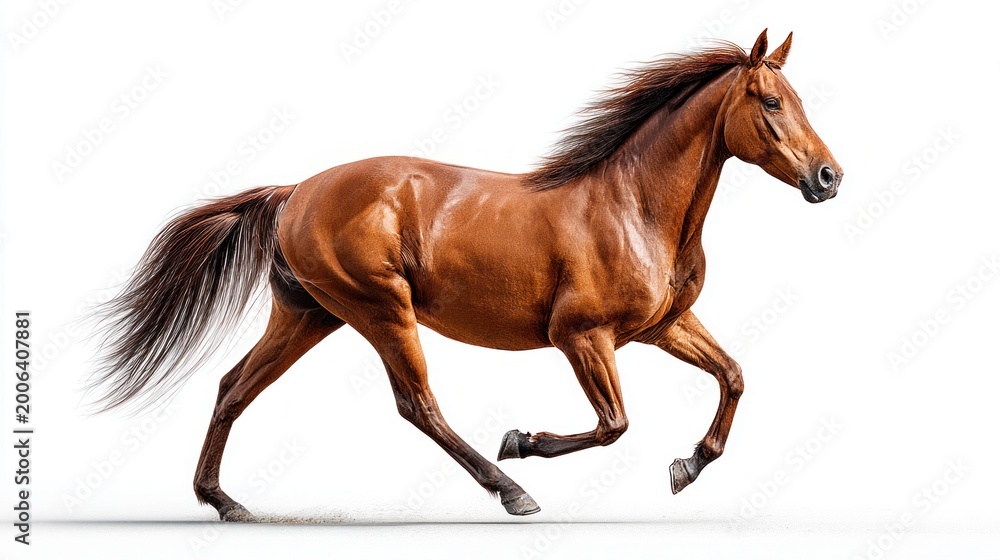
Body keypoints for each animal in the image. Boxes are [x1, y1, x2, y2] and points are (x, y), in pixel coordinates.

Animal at [88, 29, 842, 521]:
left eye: (798, 97)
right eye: (769, 100)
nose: (829, 177)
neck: (636, 206)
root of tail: (296, 190)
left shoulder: (663, 326)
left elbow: (733, 375)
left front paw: (689, 465)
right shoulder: (582, 335)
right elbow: (614, 423)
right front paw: (524, 443)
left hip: (309, 314)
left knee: (233, 387)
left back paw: (223, 501)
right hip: (379, 309)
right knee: (417, 405)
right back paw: (511, 490)